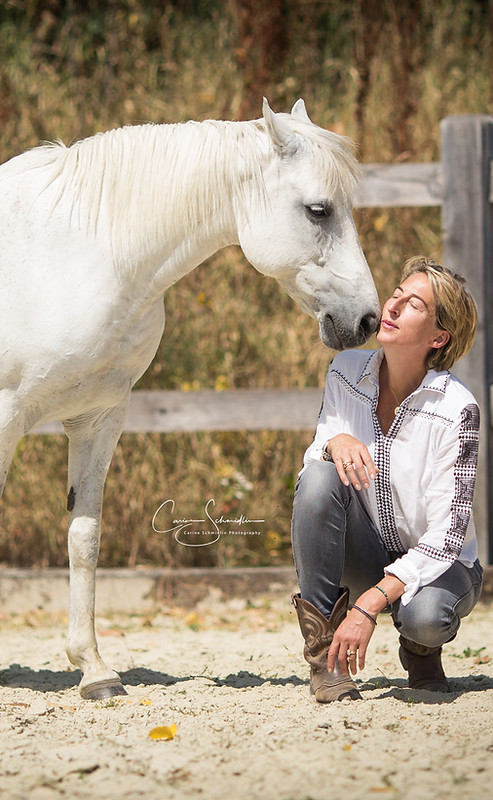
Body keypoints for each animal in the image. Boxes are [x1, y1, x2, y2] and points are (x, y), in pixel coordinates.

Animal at [0, 99, 379, 699]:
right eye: (318, 211)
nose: (366, 319)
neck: (72, 253)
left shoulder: (97, 419)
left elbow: (84, 538)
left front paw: (95, 672)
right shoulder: (6, 415)